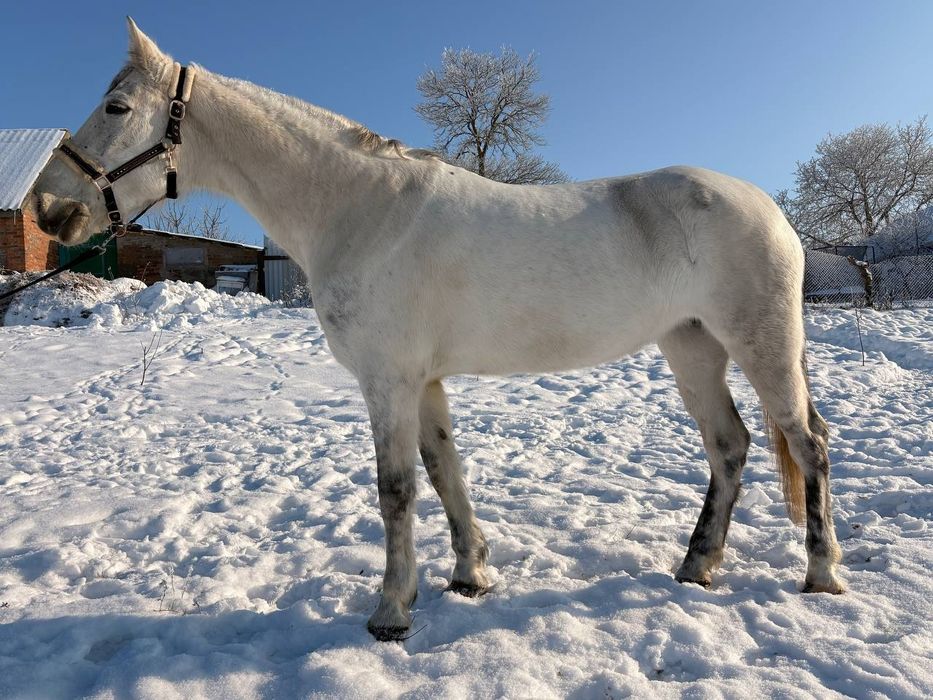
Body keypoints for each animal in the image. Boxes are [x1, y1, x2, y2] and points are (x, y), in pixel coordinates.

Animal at [31, 20, 844, 641]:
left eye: (114, 106)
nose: (47, 209)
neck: (364, 209)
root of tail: (768, 209)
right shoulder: (422, 382)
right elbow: (445, 469)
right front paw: (468, 574)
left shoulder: (388, 379)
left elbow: (395, 488)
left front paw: (390, 611)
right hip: (691, 346)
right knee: (730, 446)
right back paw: (696, 566)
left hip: (762, 345)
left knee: (806, 441)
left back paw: (821, 574)